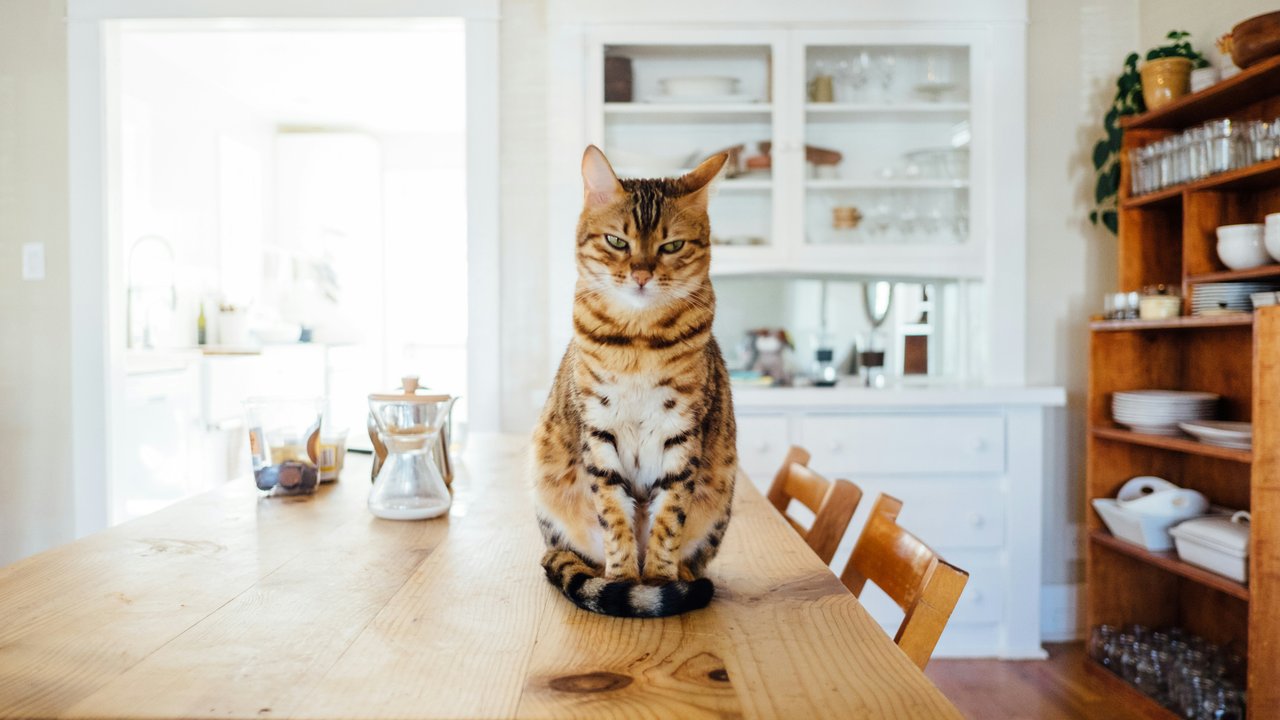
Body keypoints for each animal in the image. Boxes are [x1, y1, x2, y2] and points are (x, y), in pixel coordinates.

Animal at [532, 146, 742, 617]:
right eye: (617, 241)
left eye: (672, 245)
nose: (642, 274)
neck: (639, 341)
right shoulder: (598, 428)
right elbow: (613, 515)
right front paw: (624, 580)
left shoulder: (682, 432)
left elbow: (669, 518)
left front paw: (660, 580)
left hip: (721, 496)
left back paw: (682, 577)